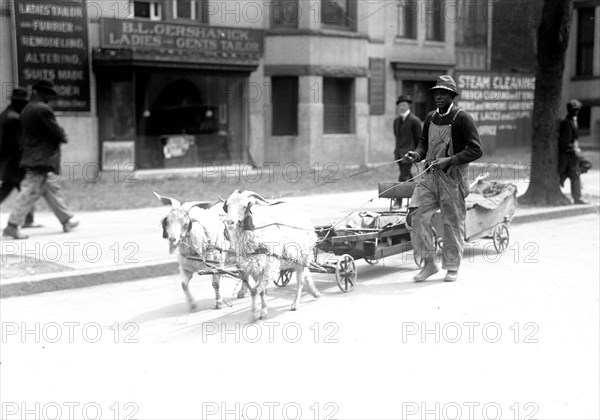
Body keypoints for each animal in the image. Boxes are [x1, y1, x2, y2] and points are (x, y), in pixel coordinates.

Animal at [223, 189, 322, 320]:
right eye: (228, 205)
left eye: (244, 206)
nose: (230, 222)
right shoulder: (256, 269)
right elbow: (261, 291)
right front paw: (263, 310)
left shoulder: (269, 267)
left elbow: (255, 290)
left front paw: (255, 314)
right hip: (299, 258)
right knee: (306, 272)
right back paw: (315, 292)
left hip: (303, 255)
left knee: (300, 280)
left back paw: (295, 303)